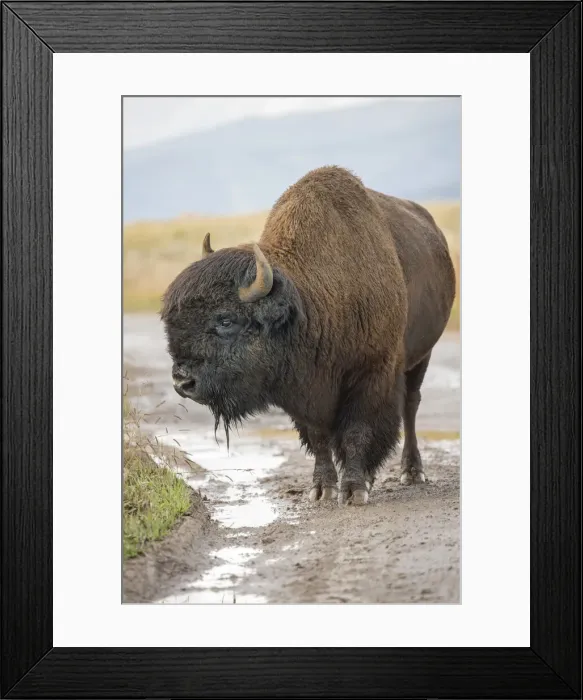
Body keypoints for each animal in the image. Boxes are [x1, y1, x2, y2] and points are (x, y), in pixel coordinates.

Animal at [161, 166, 456, 505]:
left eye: (226, 320)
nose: (182, 382)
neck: (313, 298)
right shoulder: (304, 390)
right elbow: (318, 437)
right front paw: (322, 489)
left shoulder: (372, 374)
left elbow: (358, 432)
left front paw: (354, 491)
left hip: (421, 356)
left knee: (410, 405)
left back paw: (412, 472)